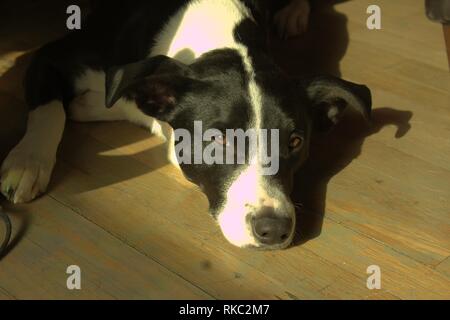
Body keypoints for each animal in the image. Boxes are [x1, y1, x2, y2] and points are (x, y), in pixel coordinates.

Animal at [0, 0, 370, 250]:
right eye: (219, 141)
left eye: (295, 142)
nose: (274, 230)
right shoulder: (52, 56)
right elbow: (50, 110)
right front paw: (27, 161)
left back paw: (292, 13)